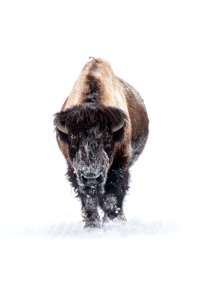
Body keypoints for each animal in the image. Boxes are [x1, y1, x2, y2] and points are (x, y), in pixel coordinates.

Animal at [53, 58, 148, 227]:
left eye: (108, 141)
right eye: (73, 141)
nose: (91, 177)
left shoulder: (120, 164)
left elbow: (112, 196)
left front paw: (114, 222)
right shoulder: (73, 169)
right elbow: (89, 199)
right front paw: (92, 224)